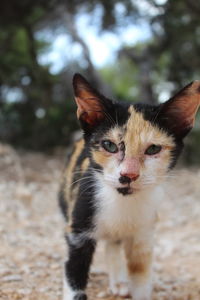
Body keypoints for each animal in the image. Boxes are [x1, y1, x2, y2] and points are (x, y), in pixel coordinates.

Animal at [59, 73, 200, 300]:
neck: (122, 202)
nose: (129, 175)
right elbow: (74, 275)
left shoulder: (144, 233)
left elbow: (140, 272)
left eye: (153, 149)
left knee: (113, 243)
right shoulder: (78, 229)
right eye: (109, 145)